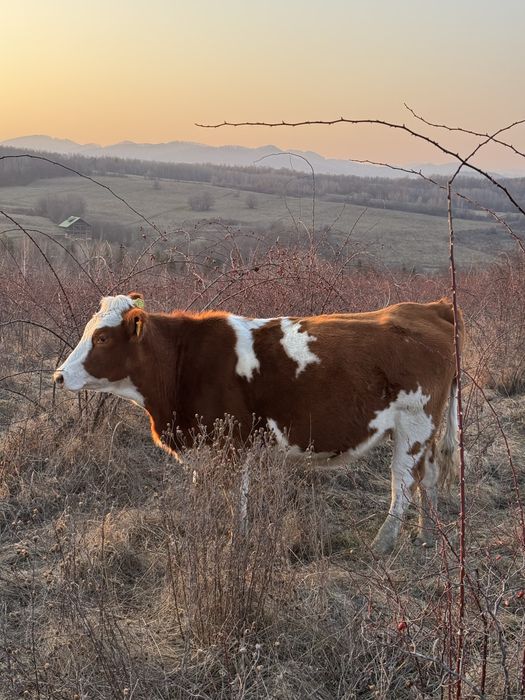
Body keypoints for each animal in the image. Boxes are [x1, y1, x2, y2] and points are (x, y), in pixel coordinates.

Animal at [54, 293, 462, 553]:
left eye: (102, 337)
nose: (58, 376)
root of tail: (432, 308)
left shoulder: (233, 443)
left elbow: (236, 499)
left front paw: (235, 544)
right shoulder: (206, 445)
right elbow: (208, 493)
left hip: (413, 424)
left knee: (403, 483)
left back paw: (383, 542)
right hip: (425, 430)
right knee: (427, 476)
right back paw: (427, 535)